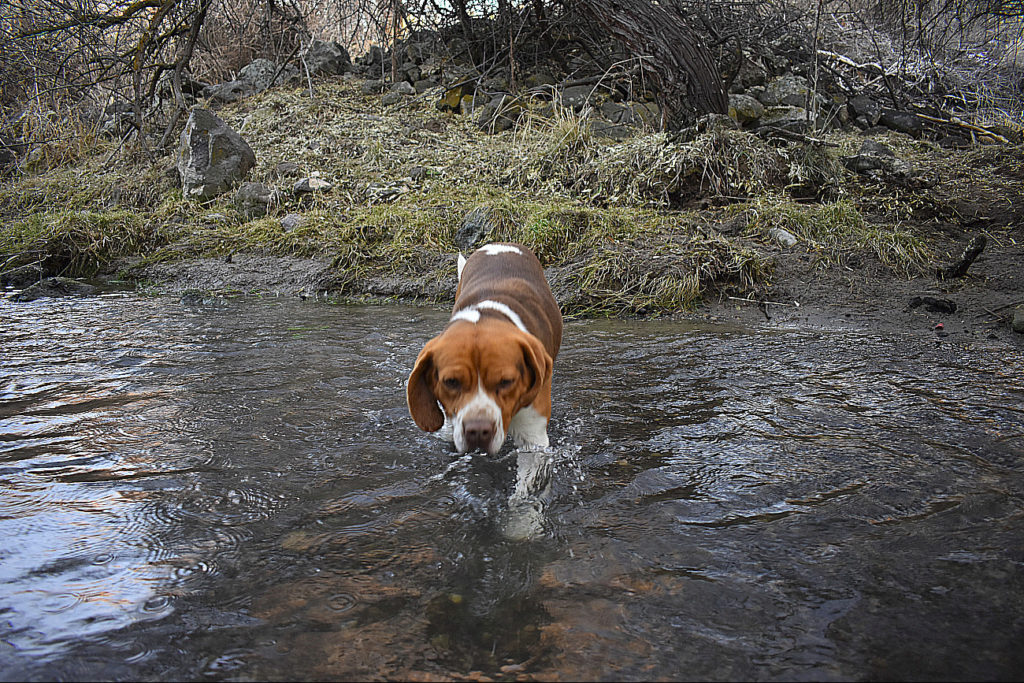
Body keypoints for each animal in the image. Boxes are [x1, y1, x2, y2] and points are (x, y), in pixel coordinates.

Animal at [405, 242, 561, 456]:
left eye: (506, 381)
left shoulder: (533, 438)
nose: (478, 430)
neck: (485, 315)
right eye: (451, 382)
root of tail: (500, 244)